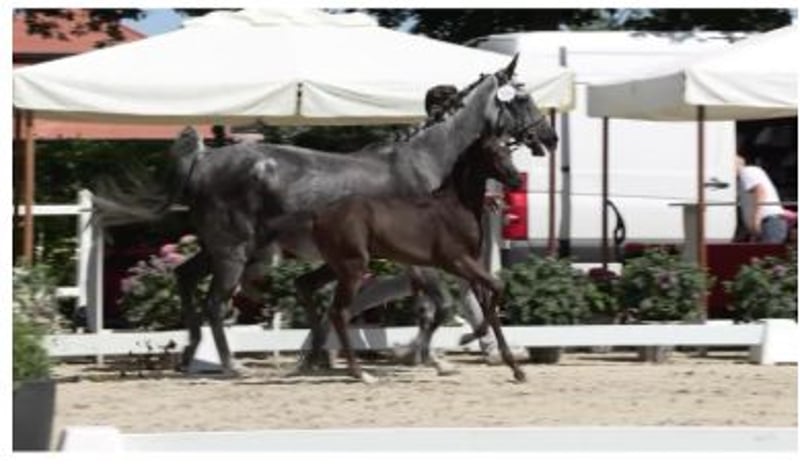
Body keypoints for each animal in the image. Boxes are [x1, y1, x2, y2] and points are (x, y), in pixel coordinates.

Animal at [300, 135, 526, 383]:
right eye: (494, 153)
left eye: (508, 150)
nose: (516, 180)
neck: (455, 208)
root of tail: (318, 216)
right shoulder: (456, 261)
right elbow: (497, 287)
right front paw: (464, 339)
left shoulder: (471, 265)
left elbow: (490, 309)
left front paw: (516, 369)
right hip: (353, 267)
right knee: (338, 311)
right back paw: (359, 372)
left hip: (338, 264)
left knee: (305, 283)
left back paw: (312, 356)